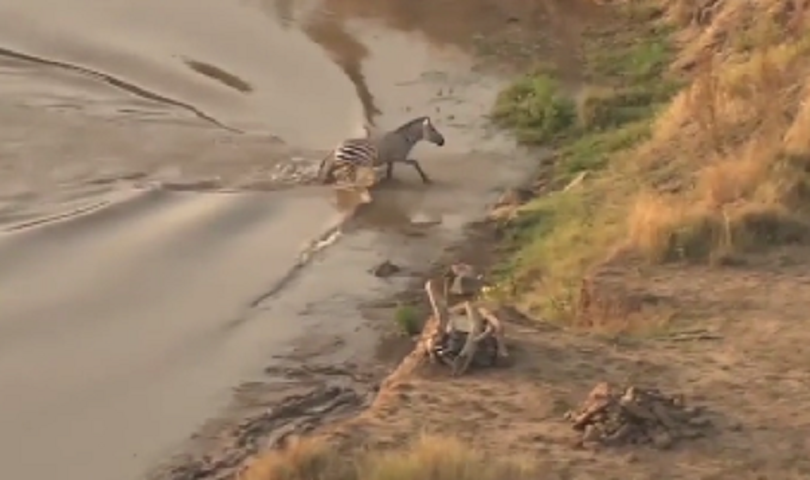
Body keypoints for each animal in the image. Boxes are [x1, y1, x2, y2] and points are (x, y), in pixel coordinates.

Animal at [316, 116, 446, 187]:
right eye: (433, 129)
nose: (443, 142)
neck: (405, 139)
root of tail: (337, 147)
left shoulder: (391, 160)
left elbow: (390, 172)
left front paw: (389, 181)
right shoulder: (399, 157)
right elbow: (415, 162)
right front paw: (426, 179)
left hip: (342, 163)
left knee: (332, 172)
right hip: (356, 161)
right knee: (344, 176)